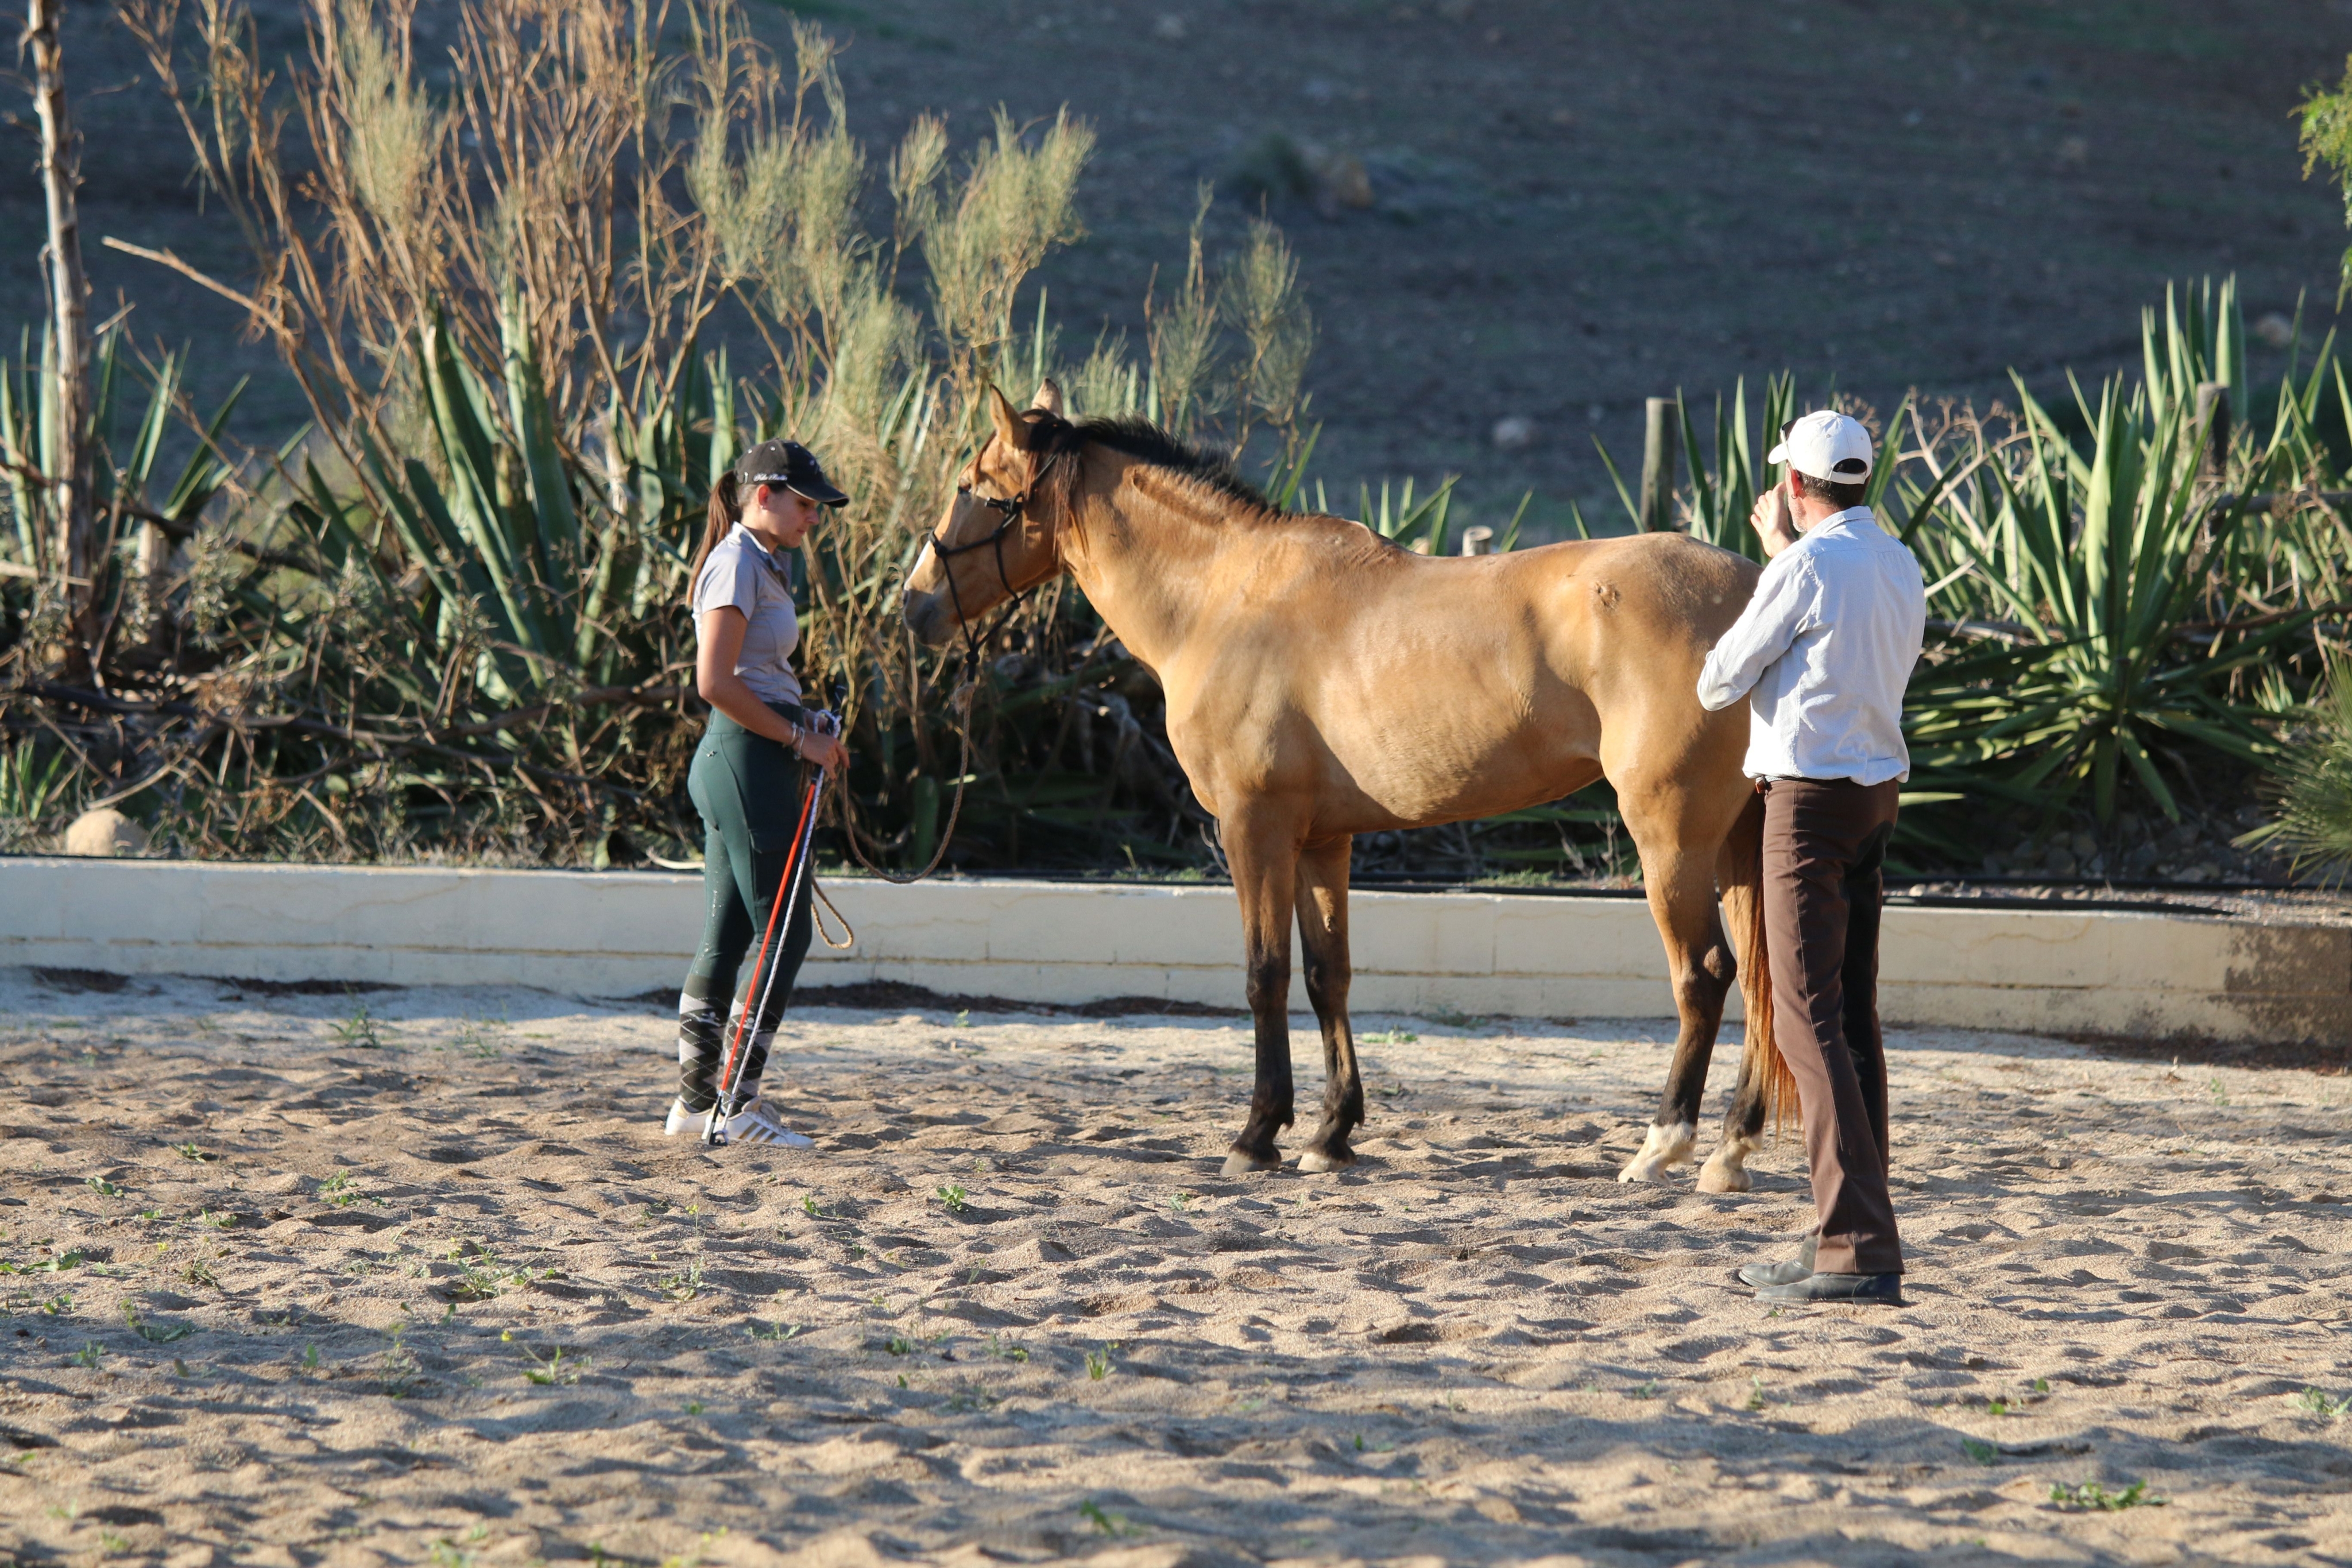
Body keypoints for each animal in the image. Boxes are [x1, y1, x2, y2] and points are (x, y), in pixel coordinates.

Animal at [902, 384, 1786, 1190]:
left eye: (974, 486)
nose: (913, 604)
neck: (1223, 597)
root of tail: (1755, 590)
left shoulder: (1252, 828)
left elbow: (1264, 973)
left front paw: (1257, 1134)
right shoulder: (1323, 840)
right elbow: (1329, 976)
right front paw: (1330, 1134)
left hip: (1670, 837)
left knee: (1704, 974)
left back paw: (1664, 1143)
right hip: (1735, 843)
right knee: (1762, 977)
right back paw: (1731, 1149)